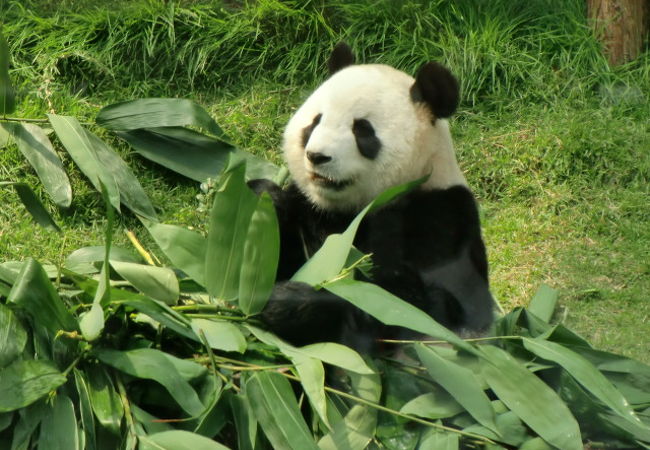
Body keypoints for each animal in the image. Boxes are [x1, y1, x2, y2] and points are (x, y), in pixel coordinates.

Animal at [248, 44, 492, 354]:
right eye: (315, 122)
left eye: (362, 130)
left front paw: (287, 303)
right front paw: (263, 200)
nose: (316, 156)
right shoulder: (311, 209)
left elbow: (408, 311)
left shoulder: (441, 220)